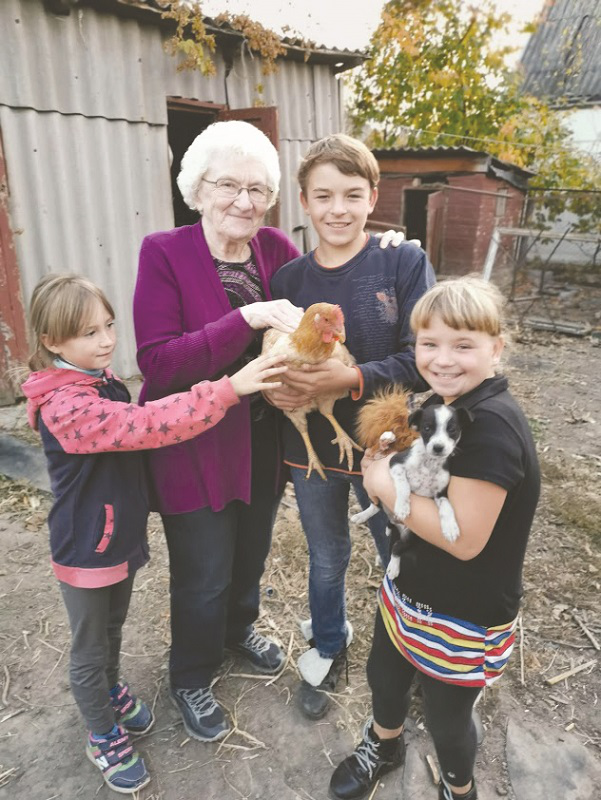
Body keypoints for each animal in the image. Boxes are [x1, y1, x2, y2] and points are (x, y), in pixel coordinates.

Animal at [352, 404, 474, 580]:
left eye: (452, 429)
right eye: (427, 428)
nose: (438, 448)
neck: (429, 462)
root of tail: (394, 521)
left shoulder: (440, 493)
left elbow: (447, 507)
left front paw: (450, 528)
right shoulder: (395, 463)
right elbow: (404, 486)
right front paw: (403, 507)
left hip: (412, 536)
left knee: (396, 547)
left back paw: (393, 567)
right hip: (379, 497)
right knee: (375, 505)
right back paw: (361, 516)